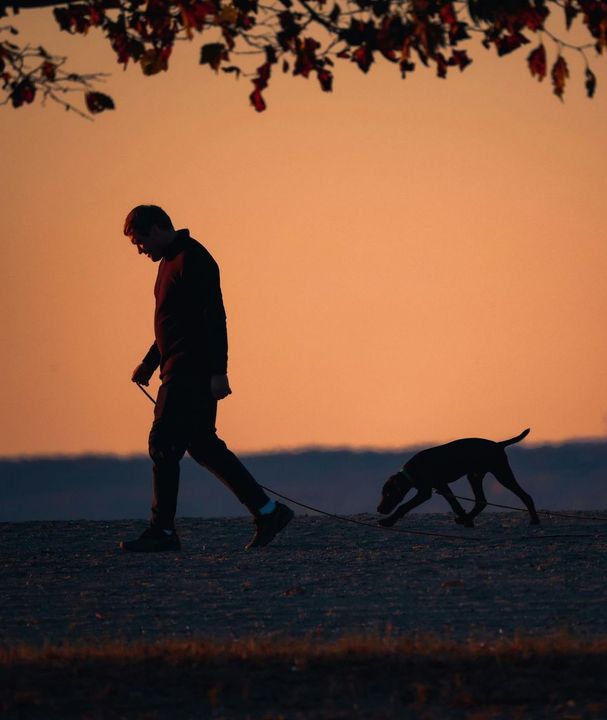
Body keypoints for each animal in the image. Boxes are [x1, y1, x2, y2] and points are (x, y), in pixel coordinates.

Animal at [378, 430, 540, 524]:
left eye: (388, 494)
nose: (379, 509)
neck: (412, 471)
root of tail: (498, 445)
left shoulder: (425, 492)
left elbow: (403, 506)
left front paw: (388, 521)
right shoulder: (442, 485)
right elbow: (455, 504)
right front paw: (465, 518)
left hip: (501, 474)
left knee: (525, 495)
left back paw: (534, 519)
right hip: (474, 476)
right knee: (481, 501)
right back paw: (466, 519)